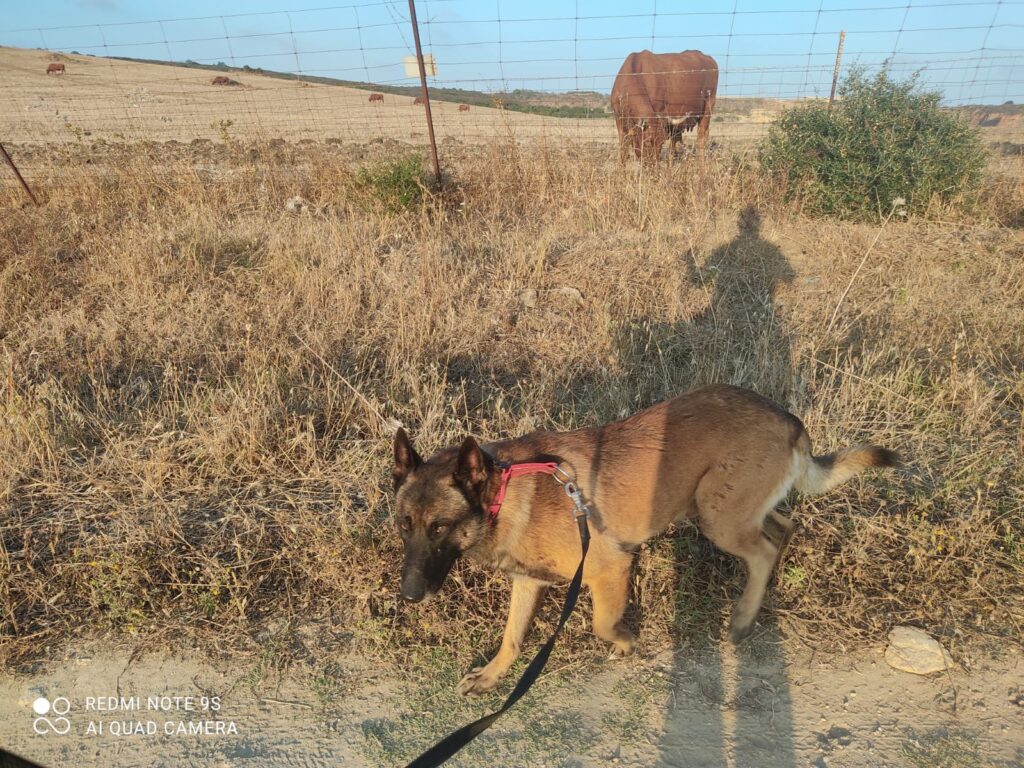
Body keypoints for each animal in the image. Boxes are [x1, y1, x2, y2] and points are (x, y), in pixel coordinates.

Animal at [391, 385, 897, 696]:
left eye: (439, 527)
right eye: (404, 525)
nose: (409, 595)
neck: (501, 492)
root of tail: (789, 419)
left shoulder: (609, 566)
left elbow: (601, 623)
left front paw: (625, 642)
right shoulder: (528, 582)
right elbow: (512, 637)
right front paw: (493, 677)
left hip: (718, 518)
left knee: (765, 550)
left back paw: (743, 617)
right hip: (729, 507)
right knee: (784, 528)